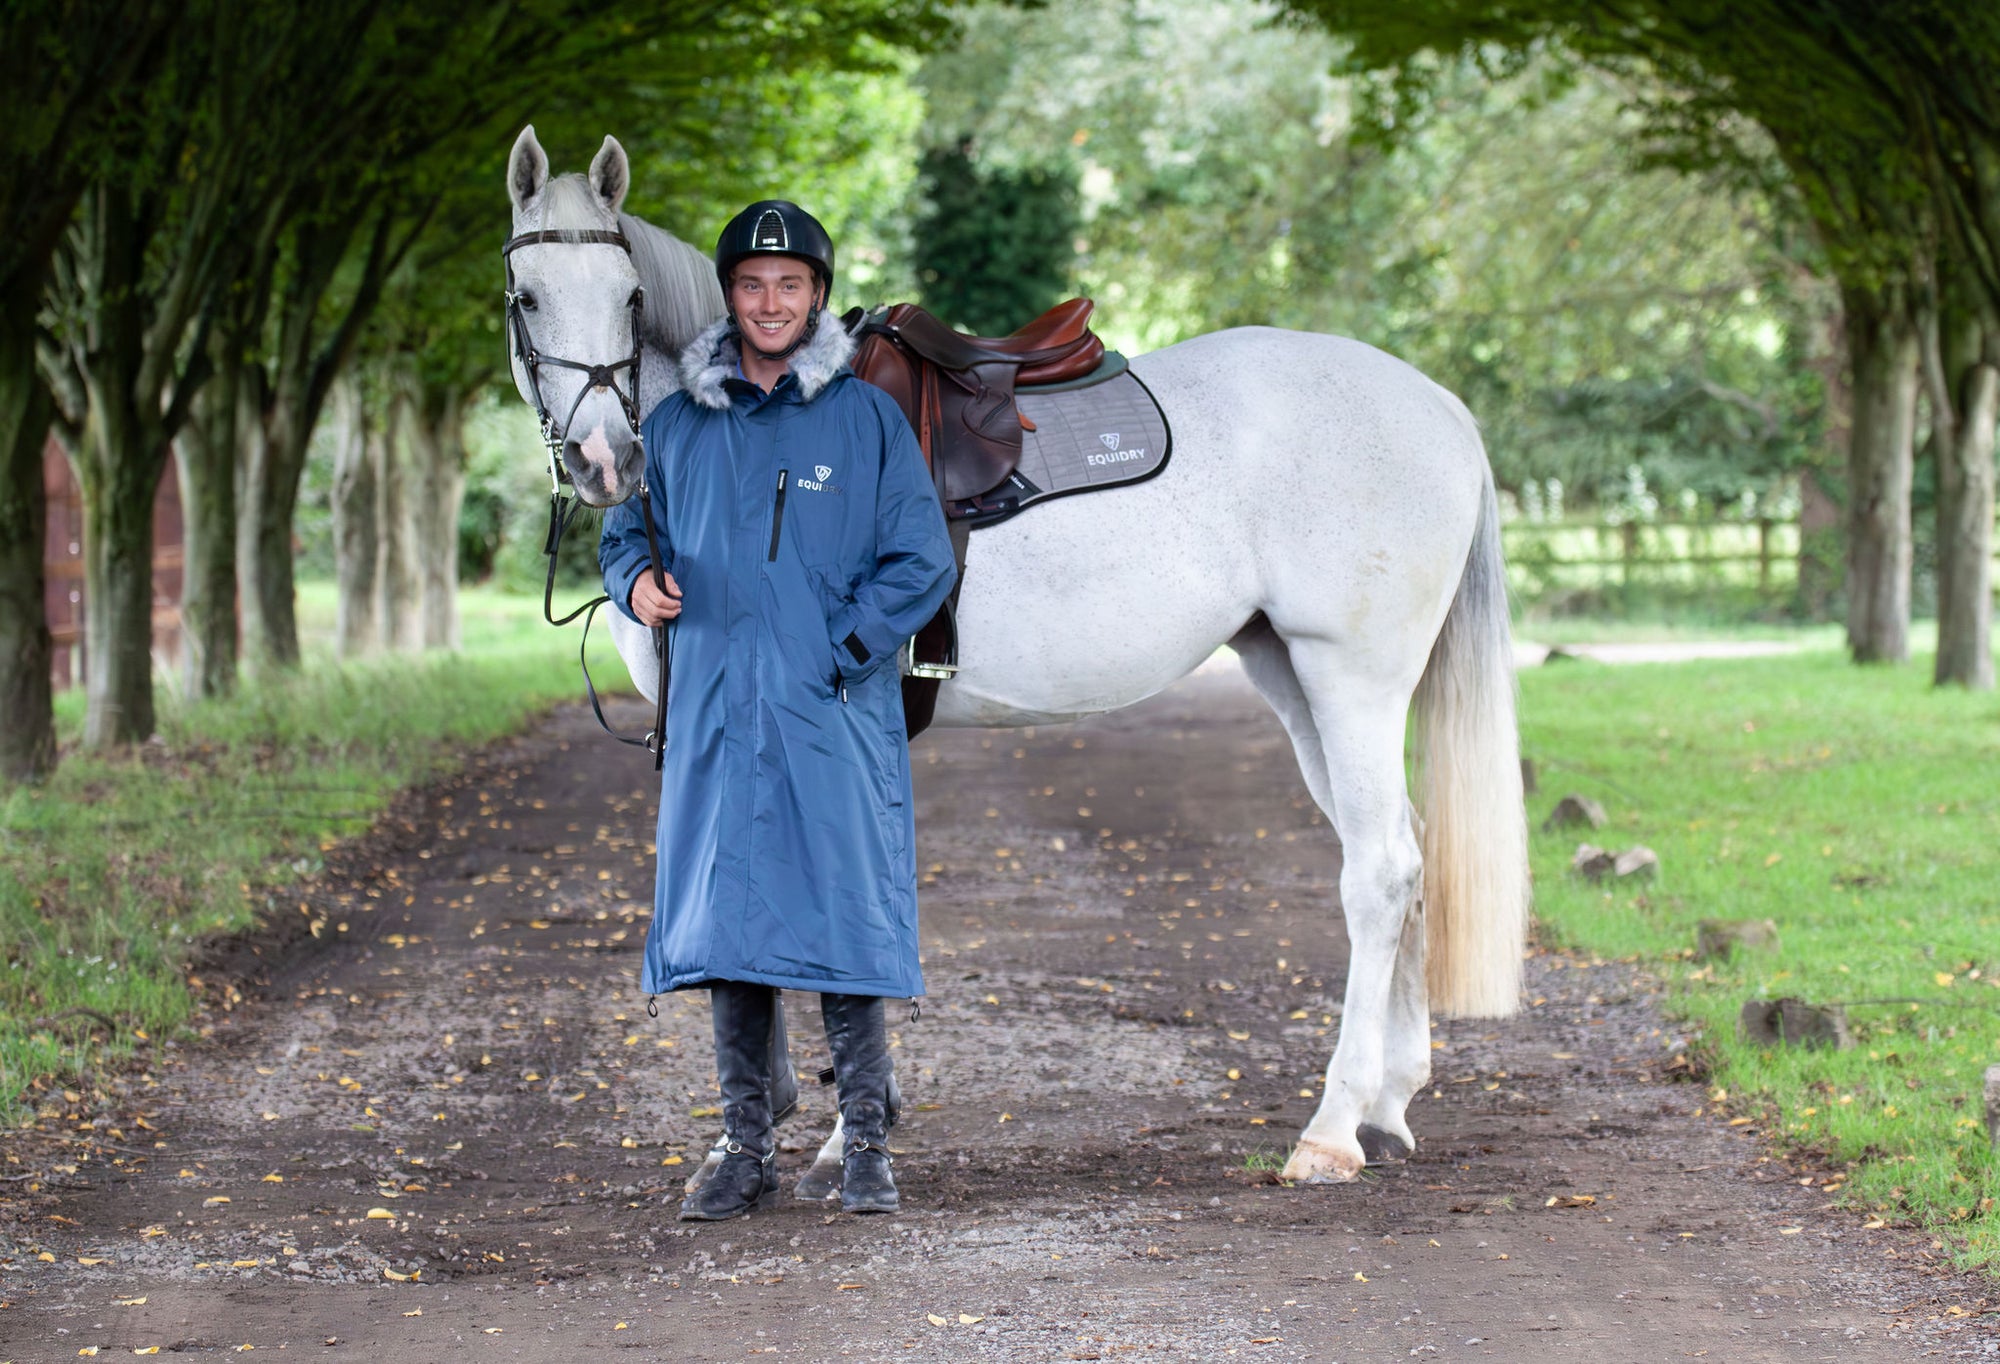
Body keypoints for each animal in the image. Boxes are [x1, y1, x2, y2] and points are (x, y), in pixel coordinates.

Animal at [508, 130, 1520, 1192]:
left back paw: (1332, 1126)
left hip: (1350, 677)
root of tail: (1437, 403)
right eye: (526, 297)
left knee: (1381, 871)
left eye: (629, 296)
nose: (604, 459)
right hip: (1292, 676)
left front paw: (831, 1120)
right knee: (1406, 854)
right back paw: (1391, 1100)